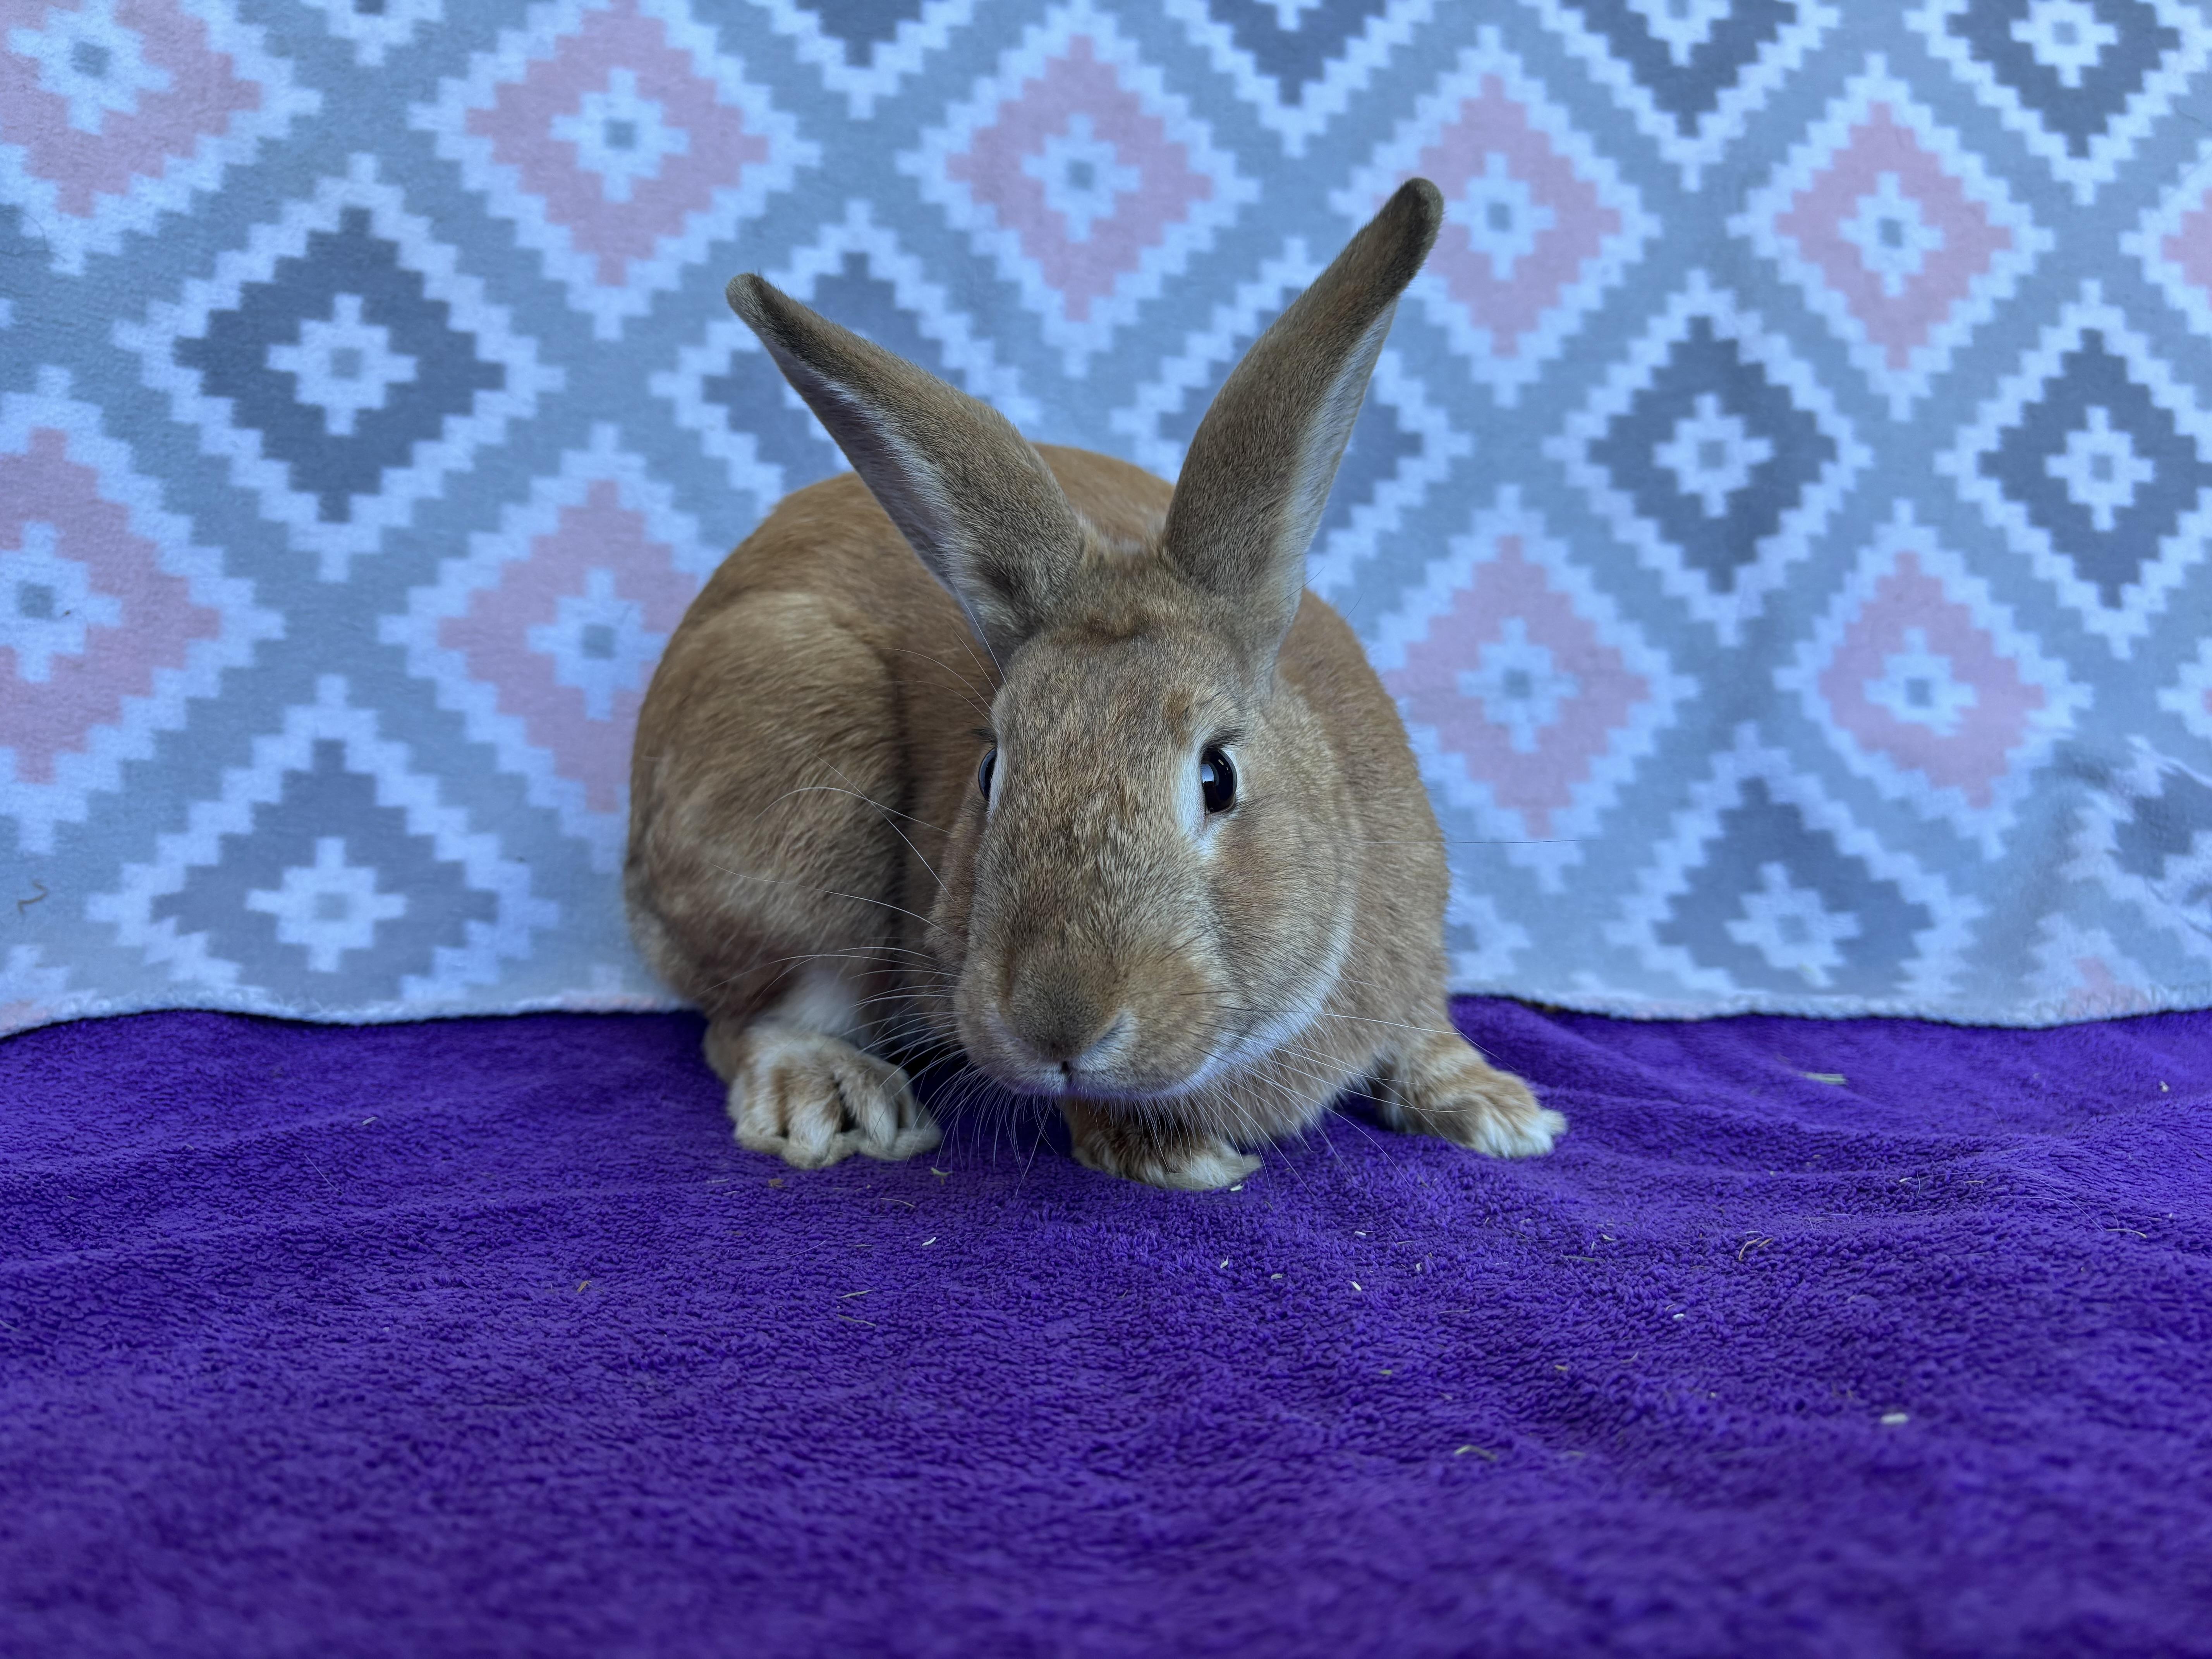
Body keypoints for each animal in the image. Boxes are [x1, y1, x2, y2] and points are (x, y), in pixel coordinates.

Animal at [625, 178, 1566, 1190]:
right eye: (991, 771)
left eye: (1217, 777)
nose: (1059, 1025)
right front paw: (1182, 1158)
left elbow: (1427, 1034)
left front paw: (1502, 1114)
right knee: (744, 1017)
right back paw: (832, 1097)